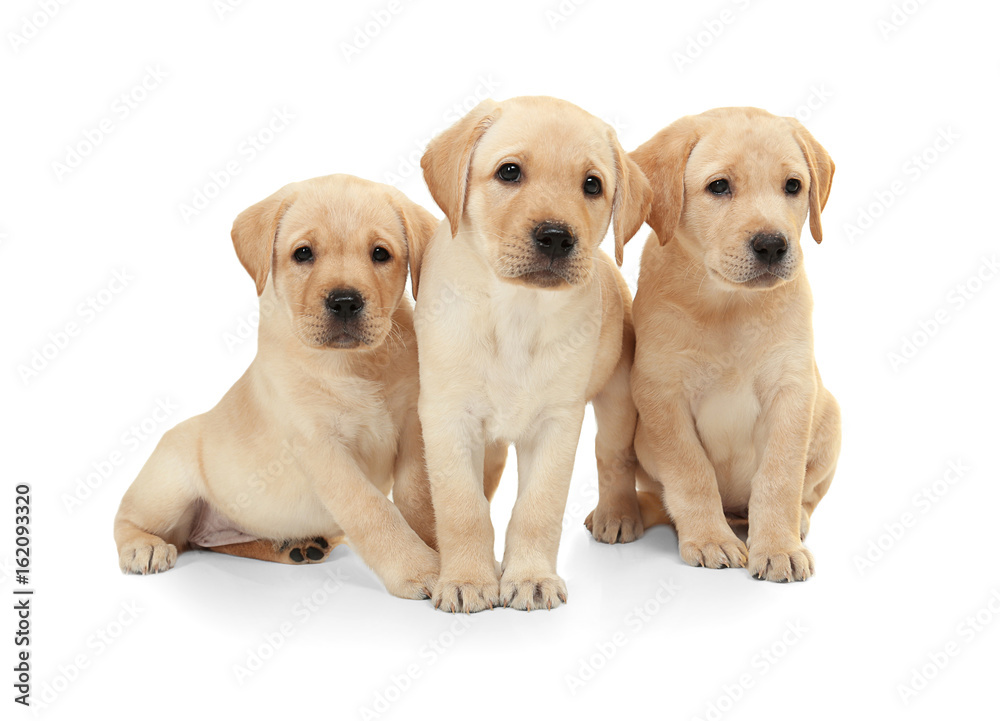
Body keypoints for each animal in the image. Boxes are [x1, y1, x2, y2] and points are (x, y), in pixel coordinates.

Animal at [113, 173, 442, 596]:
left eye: (380, 253)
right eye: (303, 253)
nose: (345, 302)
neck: (353, 365)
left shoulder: (412, 429)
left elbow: (416, 498)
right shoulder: (321, 447)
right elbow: (372, 509)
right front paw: (419, 568)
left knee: (212, 542)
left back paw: (297, 546)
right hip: (166, 485)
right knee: (128, 517)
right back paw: (144, 547)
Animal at [412, 95, 648, 612]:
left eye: (592, 184)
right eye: (509, 172)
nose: (557, 236)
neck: (516, 311)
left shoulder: (557, 423)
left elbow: (538, 508)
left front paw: (530, 578)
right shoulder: (447, 417)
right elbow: (463, 508)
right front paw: (468, 579)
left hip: (618, 398)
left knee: (613, 457)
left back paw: (617, 515)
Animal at [592, 105, 844, 580]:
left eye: (793, 186)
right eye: (720, 186)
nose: (772, 245)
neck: (729, 306)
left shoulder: (791, 390)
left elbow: (780, 477)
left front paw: (778, 546)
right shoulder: (661, 392)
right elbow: (691, 473)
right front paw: (709, 539)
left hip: (830, 418)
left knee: (805, 495)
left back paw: (794, 525)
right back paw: (626, 514)